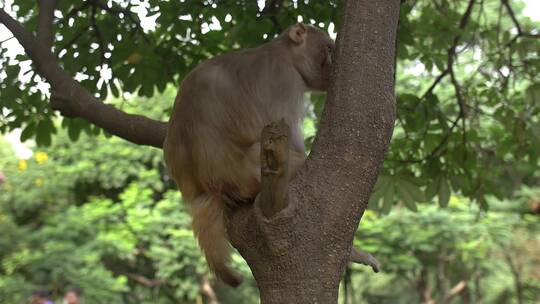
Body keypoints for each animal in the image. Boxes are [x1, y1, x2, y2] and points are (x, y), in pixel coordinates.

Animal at [162, 22, 336, 286]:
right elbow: (286, 131)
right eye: (328, 49)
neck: (284, 53)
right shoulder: (286, 80)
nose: (333, 64)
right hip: (248, 176)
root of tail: (207, 188)